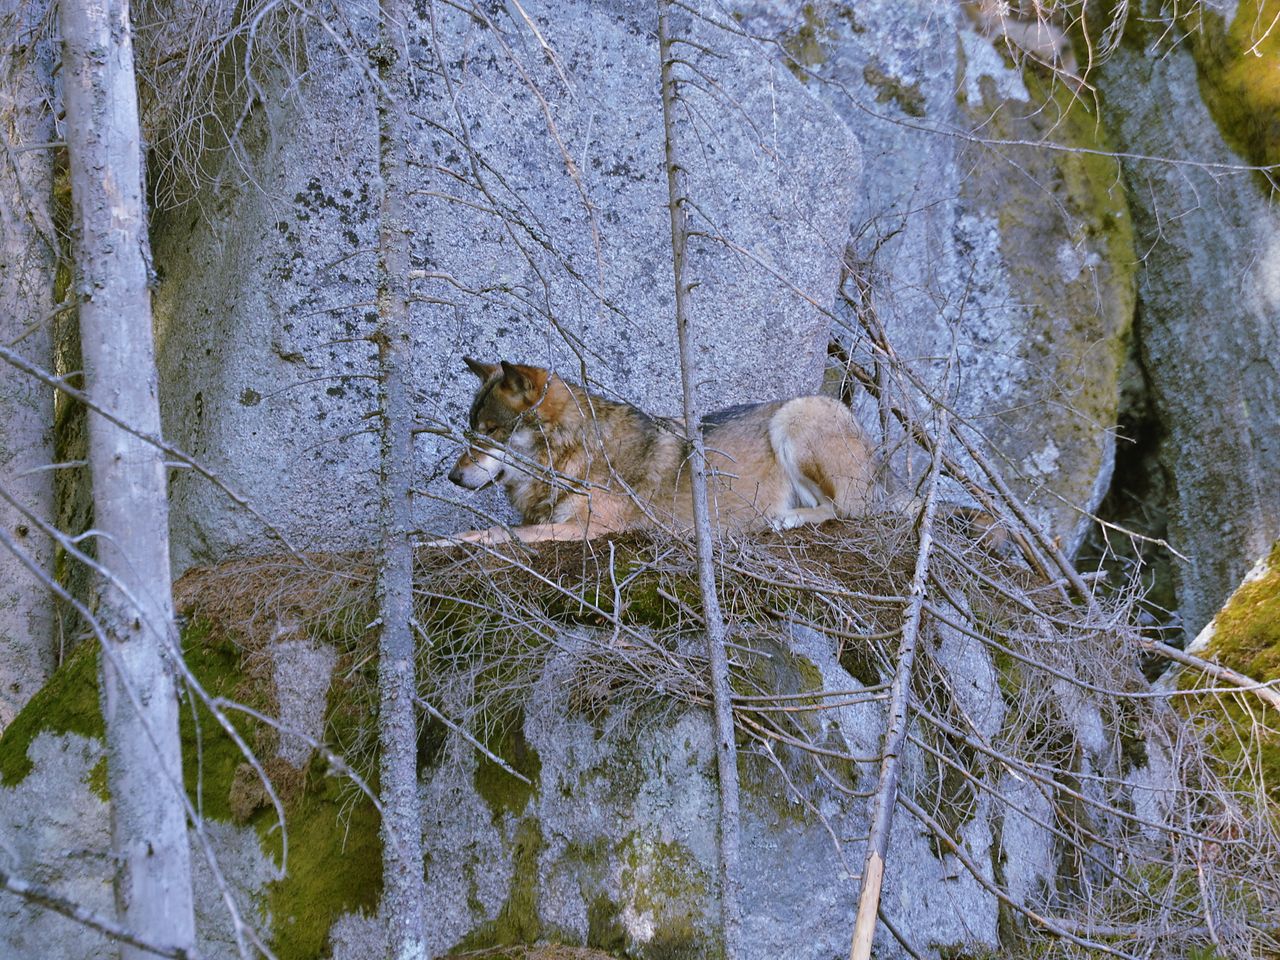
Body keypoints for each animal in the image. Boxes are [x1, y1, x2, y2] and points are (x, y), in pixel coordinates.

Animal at [435, 358, 885, 545]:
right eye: (471, 431)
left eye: (490, 432)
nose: (452, 477)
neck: (576, 454)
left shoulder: (589, 529)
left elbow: (497, 532)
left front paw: (441, 541)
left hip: (794, 418)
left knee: (846, 511)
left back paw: (786, 520)